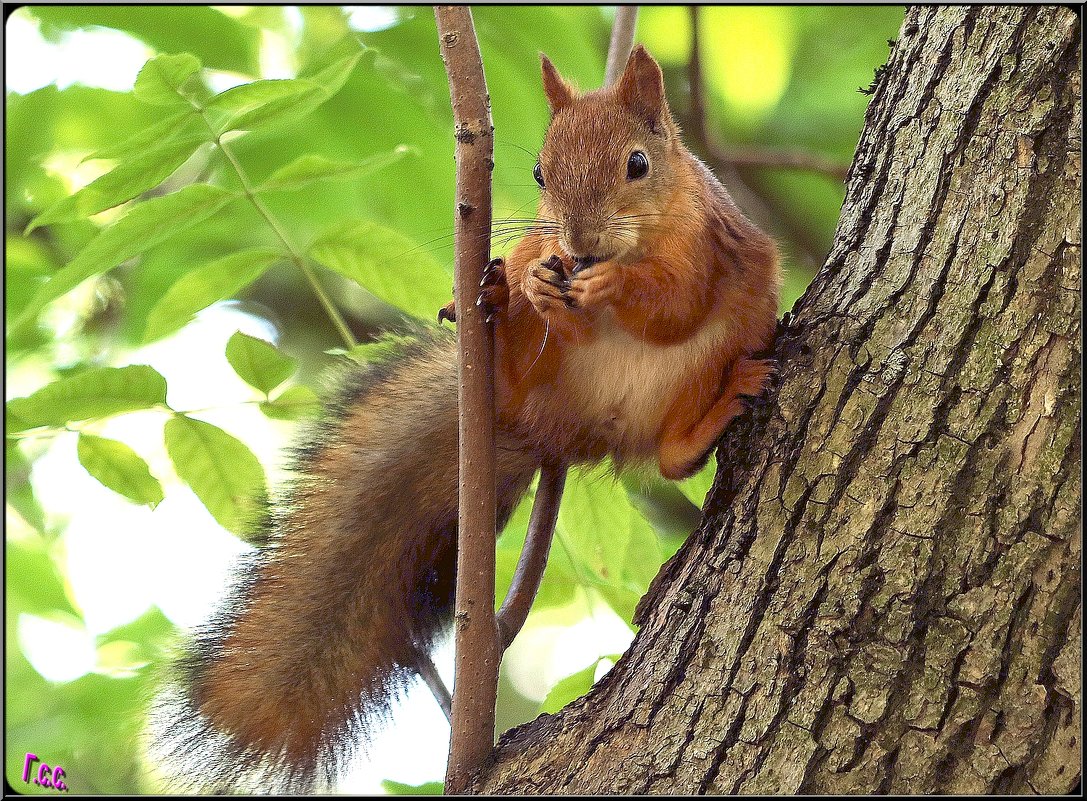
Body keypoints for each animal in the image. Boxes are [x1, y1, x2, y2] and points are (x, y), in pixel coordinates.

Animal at [151, 46, 782, 791]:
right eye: (539, 172)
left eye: (637, 163)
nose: (577, 241)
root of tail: (550, 431)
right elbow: (555, 291)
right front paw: (536, 280)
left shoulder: (709, 246)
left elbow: (675, 306)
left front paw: (614, 286)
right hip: (537, 380)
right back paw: (500, 296)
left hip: (713, 352)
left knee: (671, 455)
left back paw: (717, 405)